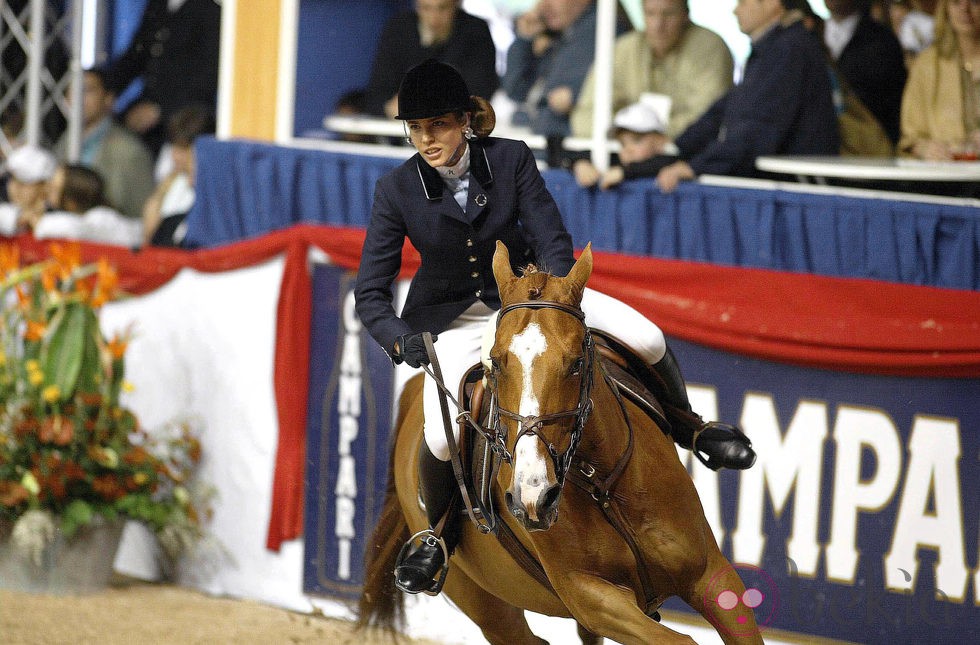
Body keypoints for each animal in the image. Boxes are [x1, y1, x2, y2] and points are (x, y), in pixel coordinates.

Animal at [356, 243, 760, 644]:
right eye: (496, 364)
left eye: (577, 362)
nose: (534, 496)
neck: (602, 484)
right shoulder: (593, 600)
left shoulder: (712, 575)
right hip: (486, 607)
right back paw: (425, 558)